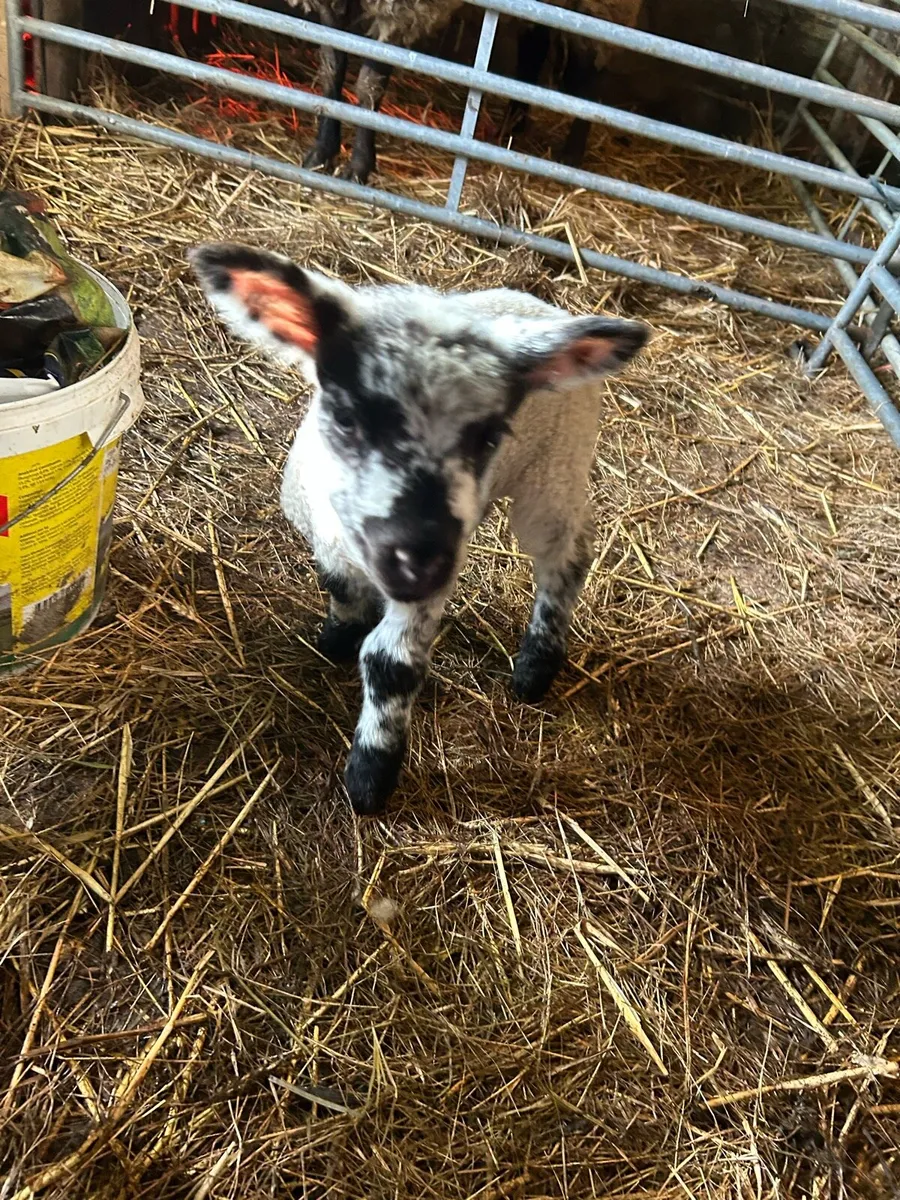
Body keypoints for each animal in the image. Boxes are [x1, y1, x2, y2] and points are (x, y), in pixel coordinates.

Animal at [189, 242, 648, 815]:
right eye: (347, 418)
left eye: (488, 436)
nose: (418, 560)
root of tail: (535, 304)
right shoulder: (325, 532)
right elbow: (338, 585)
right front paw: (337, 636)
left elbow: (392, 664)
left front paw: (370, 777)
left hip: (556, 465)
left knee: (567, 552)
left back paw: (536, 665)